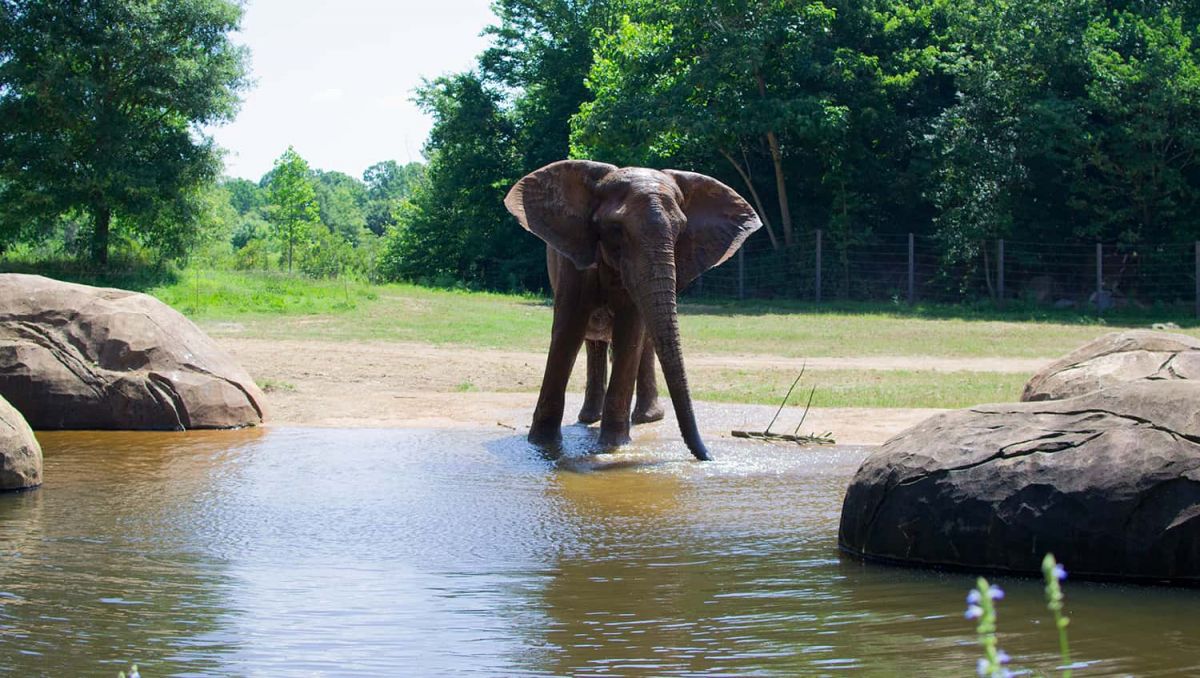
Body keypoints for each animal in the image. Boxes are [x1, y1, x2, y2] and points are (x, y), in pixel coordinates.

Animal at [506, 158, 758, 460]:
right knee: (594, 342)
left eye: (680, 232)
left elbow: (630, 332)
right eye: (616, 229)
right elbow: (568, 330)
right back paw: (589, 419)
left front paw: (612, 446)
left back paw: (645, 419)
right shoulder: (574, 258)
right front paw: (541, 445)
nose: (708, 457)